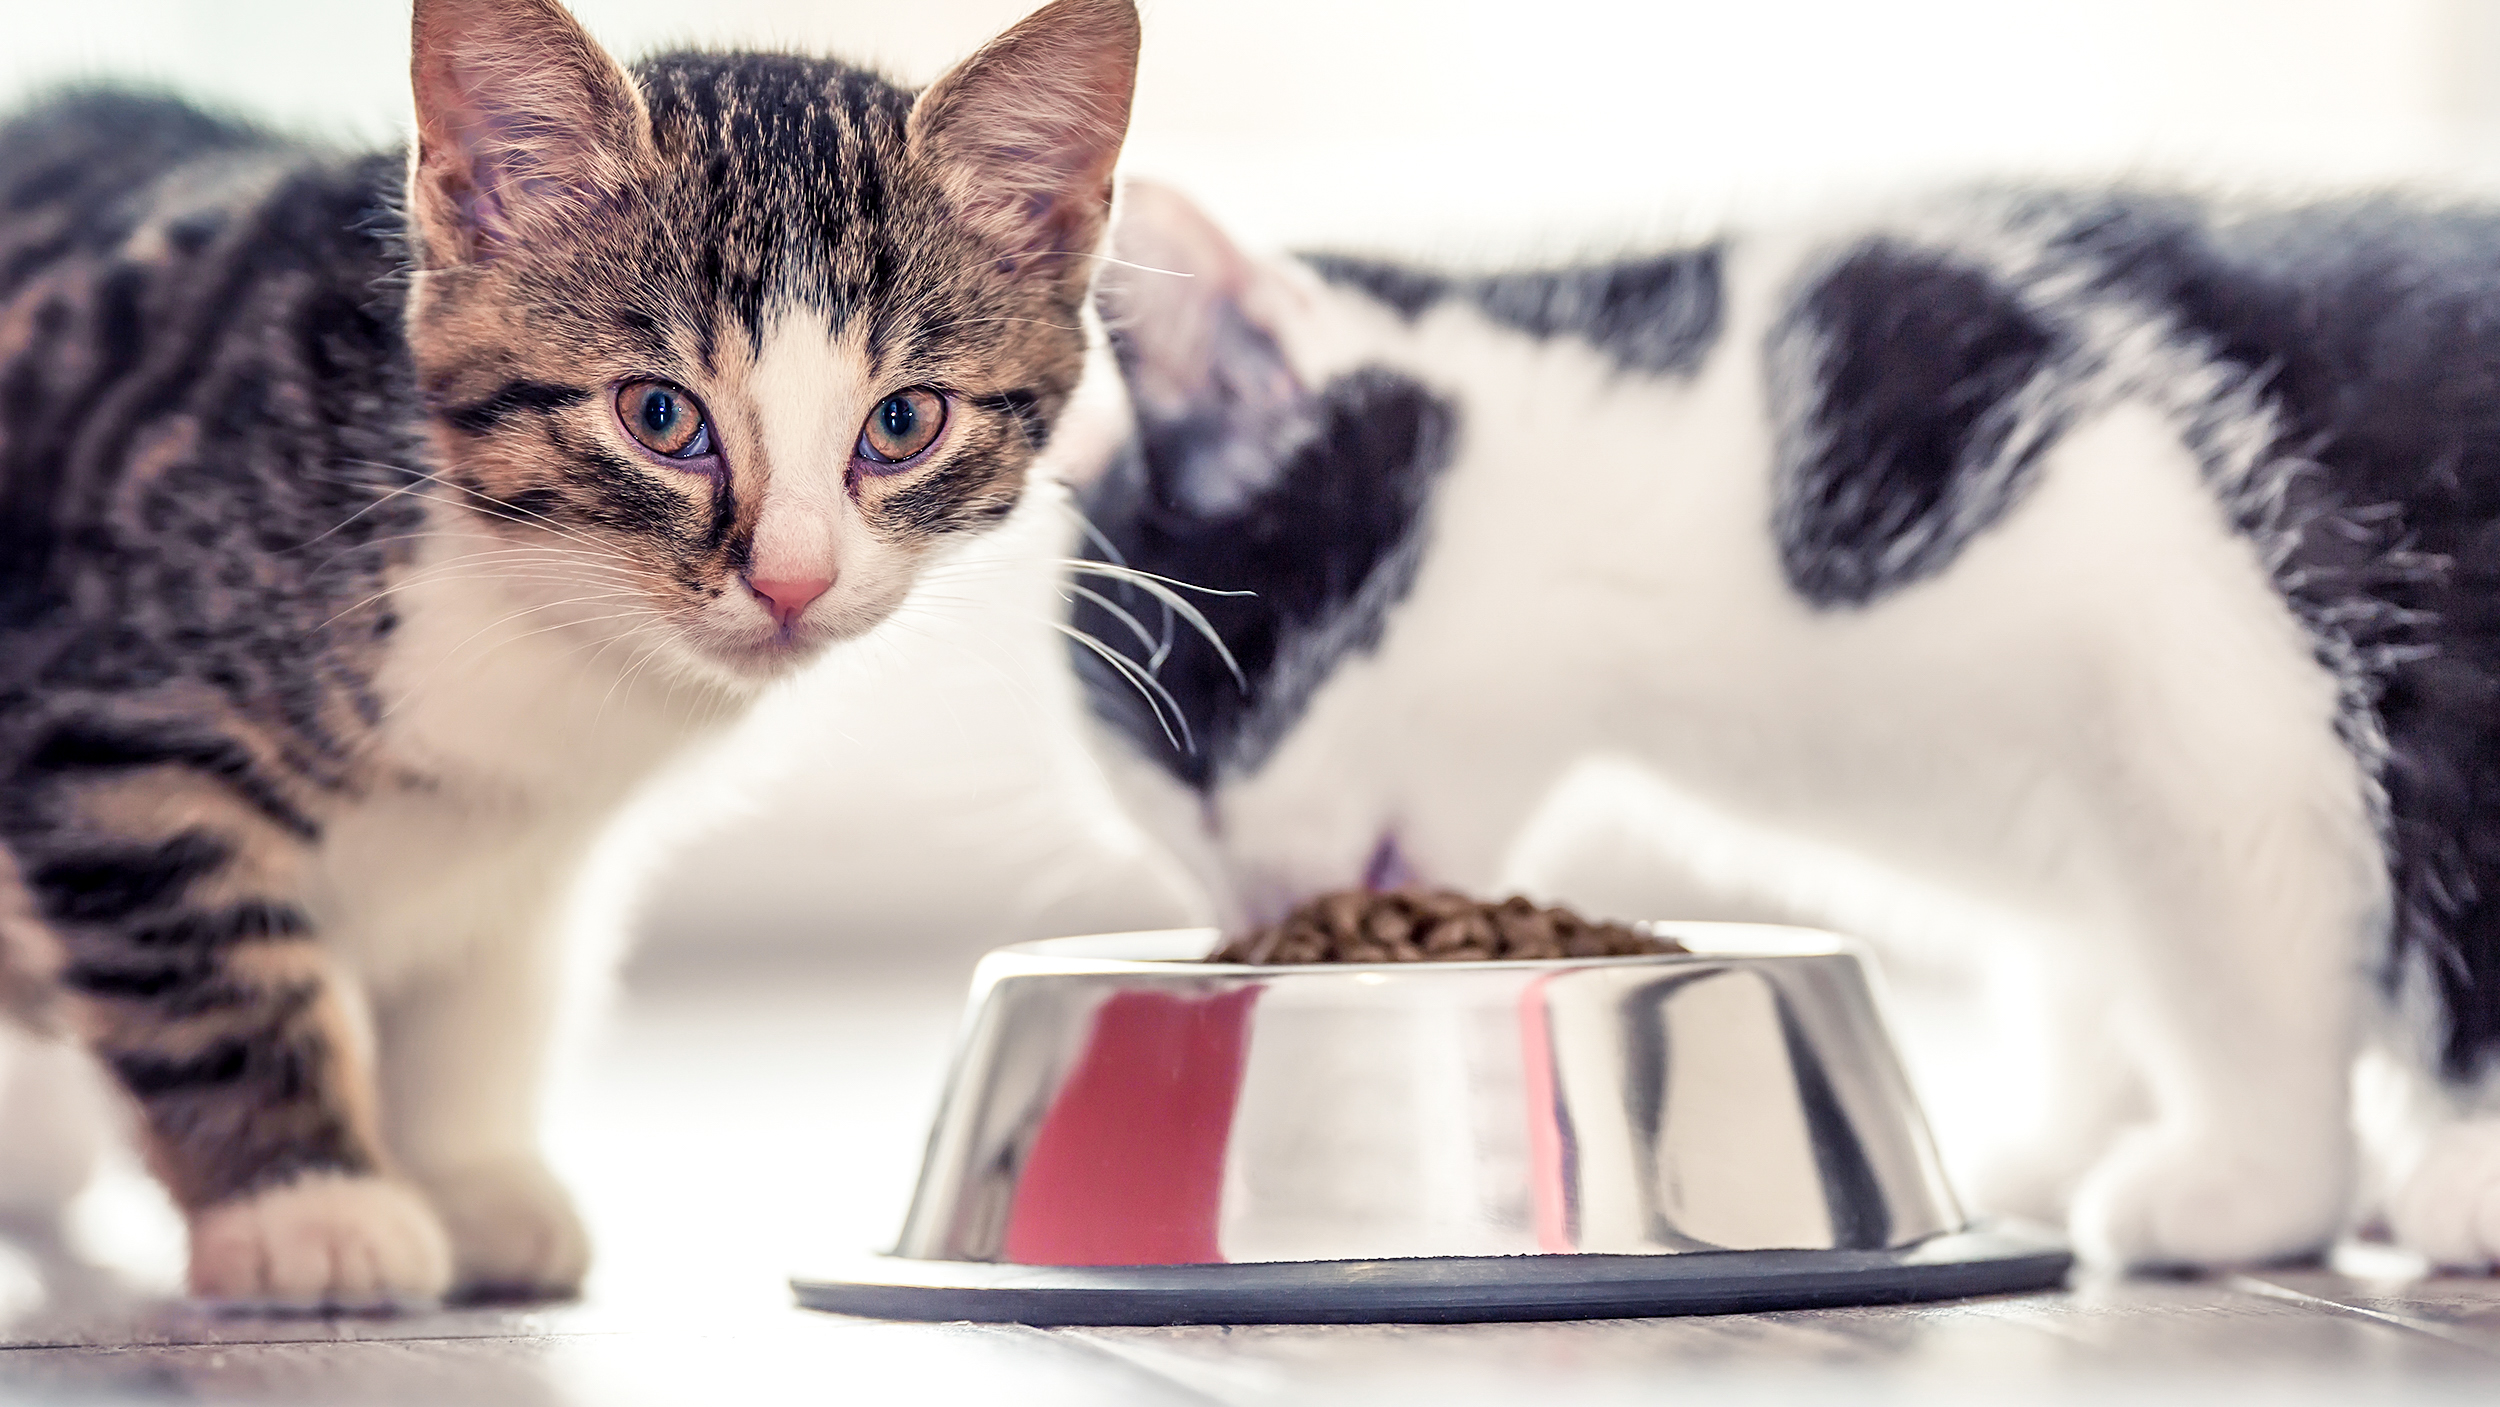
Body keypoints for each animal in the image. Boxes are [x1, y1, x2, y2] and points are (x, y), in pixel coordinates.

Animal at [0, 0, 1145, 1309]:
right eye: (659, 416)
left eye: (903, 422)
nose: (792, 579)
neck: (545, 616)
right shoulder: (118, 722)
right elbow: (206, 974)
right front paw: (308, 1206)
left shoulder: (529, 846)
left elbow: (488, 992)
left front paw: (469, 1179)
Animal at [1080, 181, 2500, 1269]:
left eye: (1206, 729)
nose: (1254, 913)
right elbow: (2087, 961)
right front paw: (2063, 1137)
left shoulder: (2166, 610)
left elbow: (2230, 944)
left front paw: (2251, 1183)